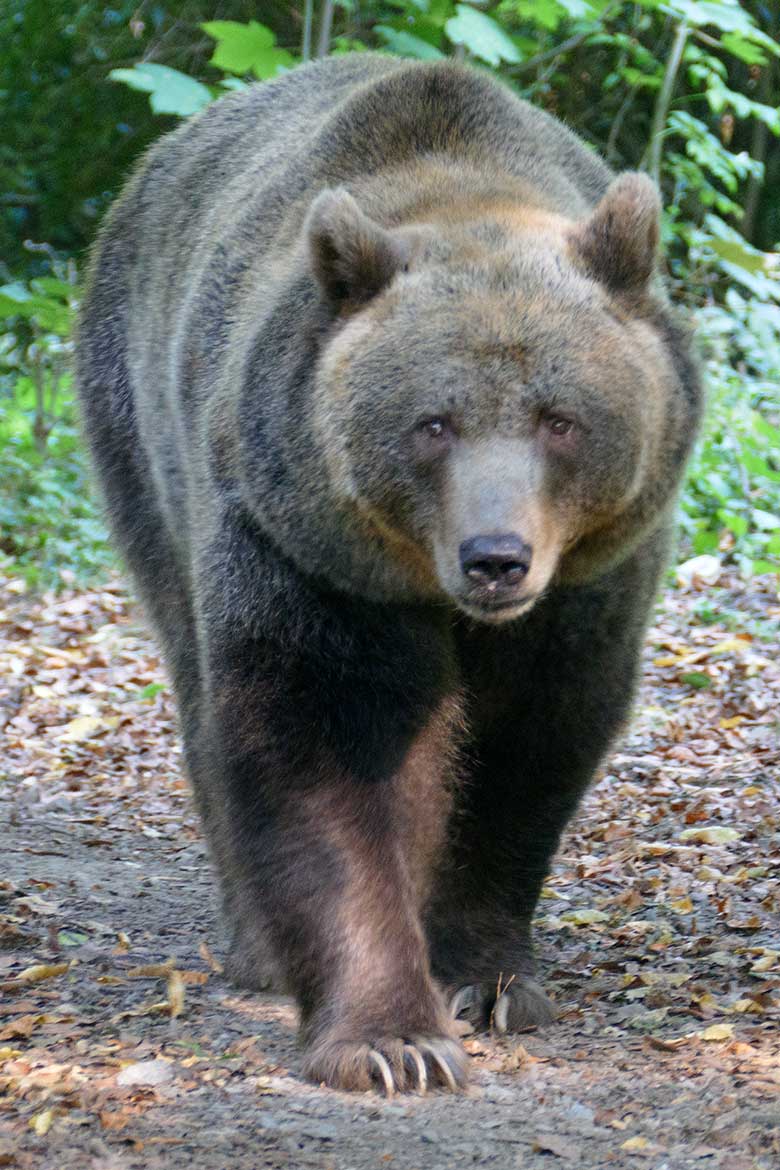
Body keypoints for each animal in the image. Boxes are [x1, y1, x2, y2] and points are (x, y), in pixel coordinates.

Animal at [77, 54, 701, 1095]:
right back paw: (256, 944)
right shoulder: (309, 555)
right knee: (199, 683)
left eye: (559, 418)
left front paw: (486, 980)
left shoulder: (591, 579)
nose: (497, 557)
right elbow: (325, 742)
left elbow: (529, 745)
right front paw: (391, 1038)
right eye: (432, 423)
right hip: (138, 430)